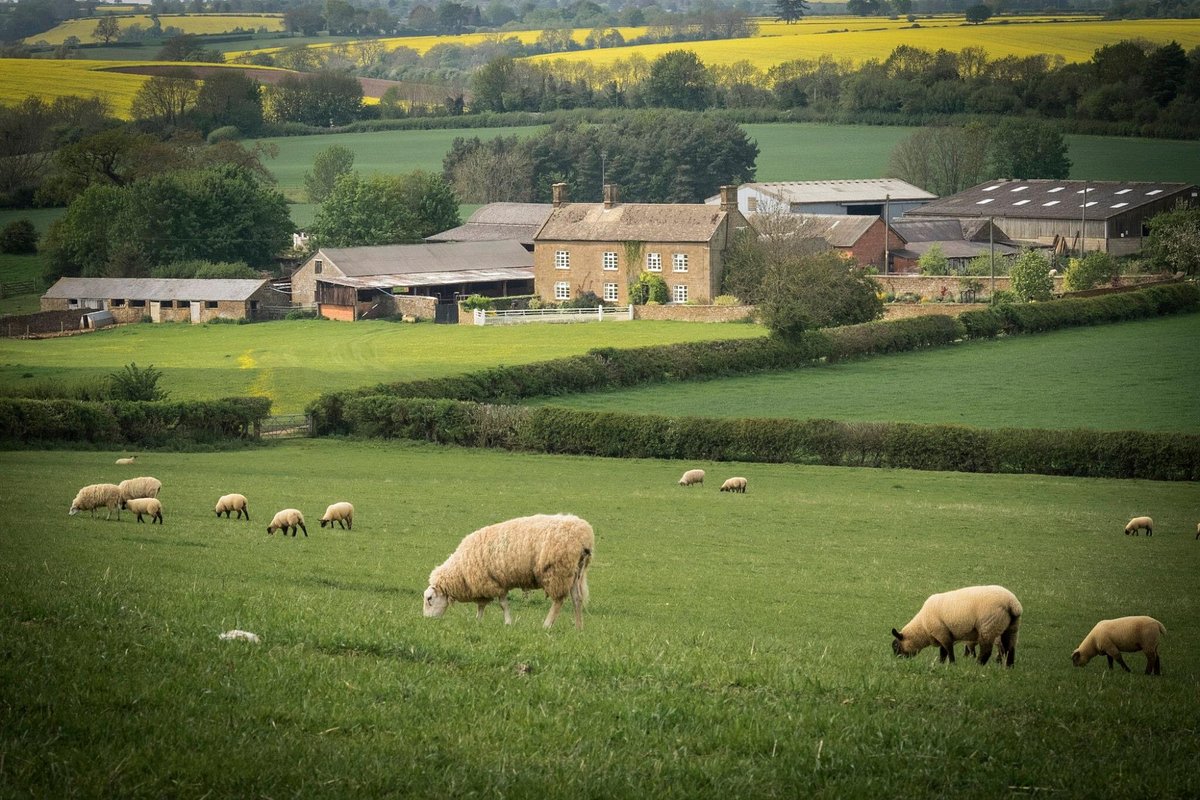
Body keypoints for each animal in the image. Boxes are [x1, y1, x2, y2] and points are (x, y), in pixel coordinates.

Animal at [422, 513, 595, 633]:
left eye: (429, 599)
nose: (427, 621)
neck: (460, 570)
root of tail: (585, 537)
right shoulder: (483, 585)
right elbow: (481, 605)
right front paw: (478, 621)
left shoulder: (494, 583)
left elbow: (503, 605)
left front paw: (507, 623)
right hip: (574, 573)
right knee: (577, 599)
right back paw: (579, 628)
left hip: (557, 572)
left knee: (558, 601)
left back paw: (546, 625)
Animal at [892, 585, 1022, 666]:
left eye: (896, 646)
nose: (897, 661)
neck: (922, 628)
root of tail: (1013, 604)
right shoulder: (943, 633)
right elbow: (943, 652)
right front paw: (941, 664)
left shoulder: (942, 632)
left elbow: (948, 650)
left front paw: (952, 664)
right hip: (1011, 628)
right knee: (1010, 649)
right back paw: (1009, 668)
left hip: (988, 627)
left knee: (986, 651)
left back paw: (978, 666)